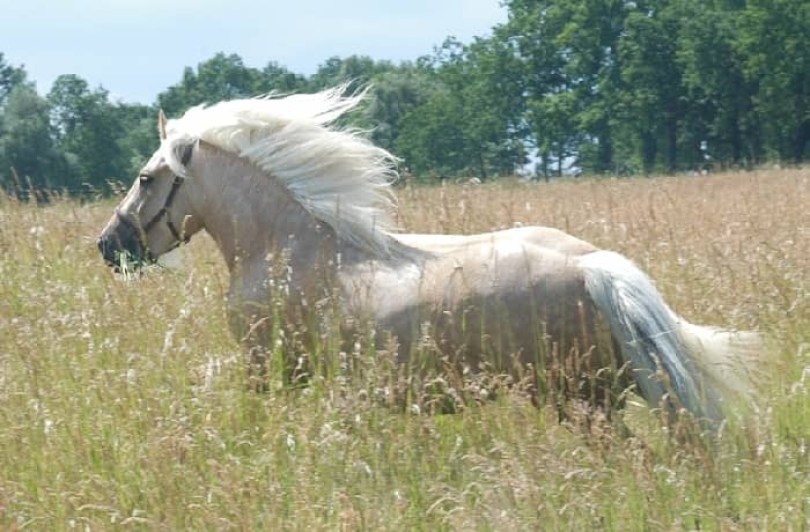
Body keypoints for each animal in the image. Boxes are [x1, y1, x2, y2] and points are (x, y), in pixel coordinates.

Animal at [98, 85, 760, 430]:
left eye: (146, 177)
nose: (108, 245)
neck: (284, 246)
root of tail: (594, 267)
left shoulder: (269, 374)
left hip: (579, 401)